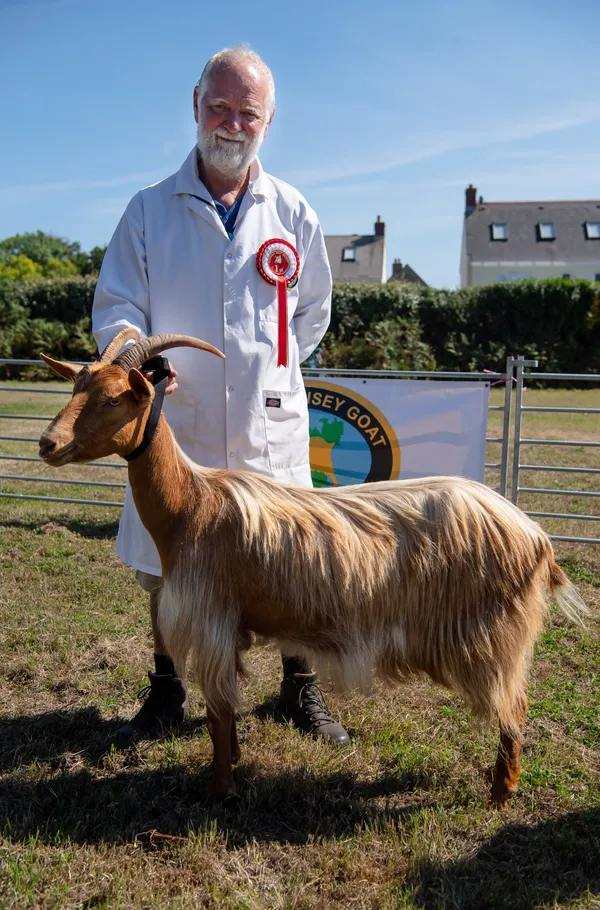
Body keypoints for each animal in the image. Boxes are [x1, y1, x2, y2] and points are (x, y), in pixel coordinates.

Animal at [38, 330, 586, 806]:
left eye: (115, 399)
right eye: (76, 386)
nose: (47, 443)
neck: (192, 504)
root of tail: (534, 536)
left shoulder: (212, 618)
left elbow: (218, 712)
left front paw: (219, 792)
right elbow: (228, 714)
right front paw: (233, 765)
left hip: (494, 636)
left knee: (512, 708)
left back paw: (500, 793)